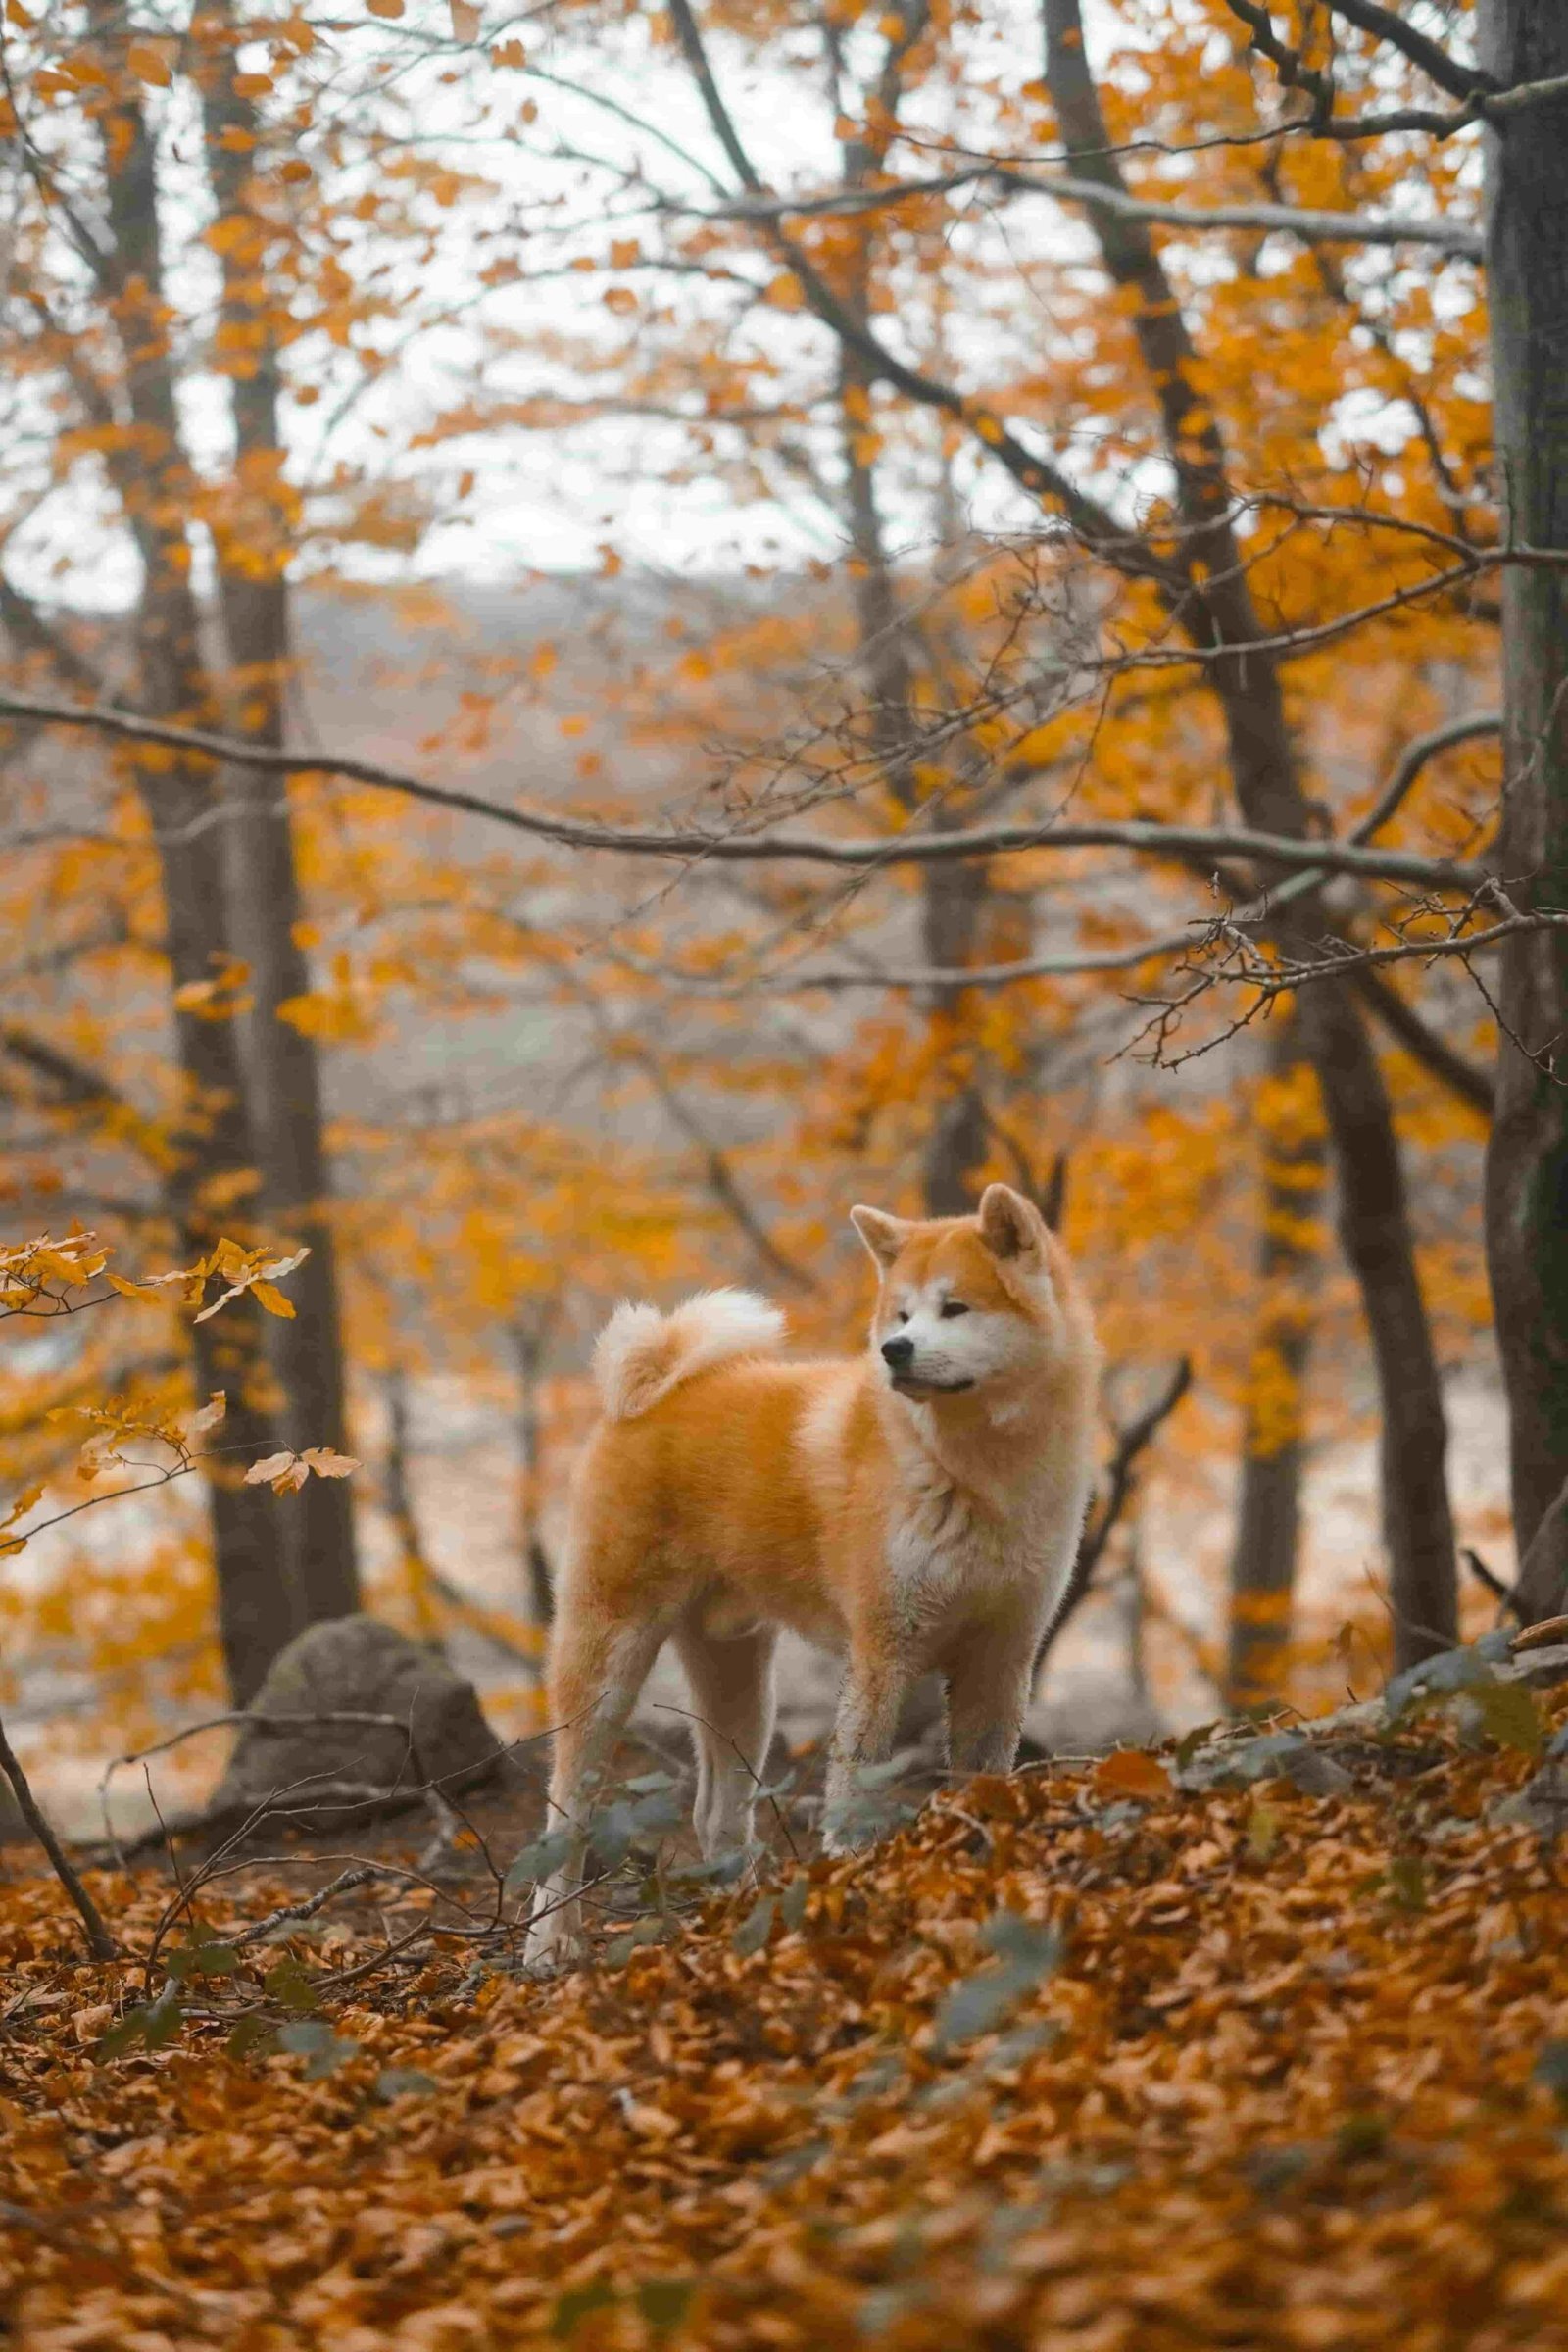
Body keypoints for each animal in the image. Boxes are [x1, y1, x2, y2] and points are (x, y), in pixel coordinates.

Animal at [526, 1176, 1104, 1966]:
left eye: (955, 1308)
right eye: (901, 1314)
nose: (894, 1350)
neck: (979, 1475)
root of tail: (656, 1388)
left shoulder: (1004, 1653)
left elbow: (982, 1776)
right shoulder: (883, 1650)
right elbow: (855, 1790)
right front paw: (852, 1885)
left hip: (741, 1684)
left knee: (716, 1815)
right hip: (608, 1660)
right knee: (567, 1809)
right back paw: (548, 1944)